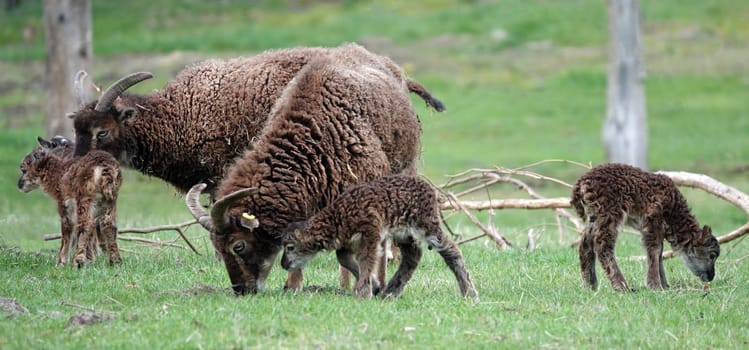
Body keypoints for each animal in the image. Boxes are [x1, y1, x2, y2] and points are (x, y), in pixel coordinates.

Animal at [18, 135, 122, 266]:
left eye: (23, 169)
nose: (19, 185)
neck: (59, 173)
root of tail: (106, 170)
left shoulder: (64, 204)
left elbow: (67, 230)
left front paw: (61, 262)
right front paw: (89, 260)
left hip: (84, 198)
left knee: (85, 225)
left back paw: (78, 262)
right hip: (111, 199)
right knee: (108, 225)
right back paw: (115, 261)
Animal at [69, 42, 442, 196]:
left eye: (102, 133)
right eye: (77, 130)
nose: (76, 169)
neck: (177, 112)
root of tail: (395, 71)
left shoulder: (220, 171)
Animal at [278, 174, 476, 300]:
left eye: (290, 247)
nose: (283, 264)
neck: (337, 218)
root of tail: (429, 189)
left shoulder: (371, 231)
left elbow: (367, 259)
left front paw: (364, 293)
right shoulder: (347, 242)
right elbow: (344, 259)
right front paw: (374, 285)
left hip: (427, 225)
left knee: (451, 250)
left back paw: (469, 292)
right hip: (403, 232)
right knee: (413, 255)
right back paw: (391, 292)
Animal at [568, 163, 720, 292]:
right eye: (712, 255)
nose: (711, 276)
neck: (674, 211)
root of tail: (581, 183)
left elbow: (659, 253)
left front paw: (665, 285)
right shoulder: (653, 220)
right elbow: (655, 250)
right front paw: (655, 285)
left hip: (594, 216)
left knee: (585, 244)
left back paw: (590, 285)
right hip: (610, 214)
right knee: (602, 245)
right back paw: (622, 286)